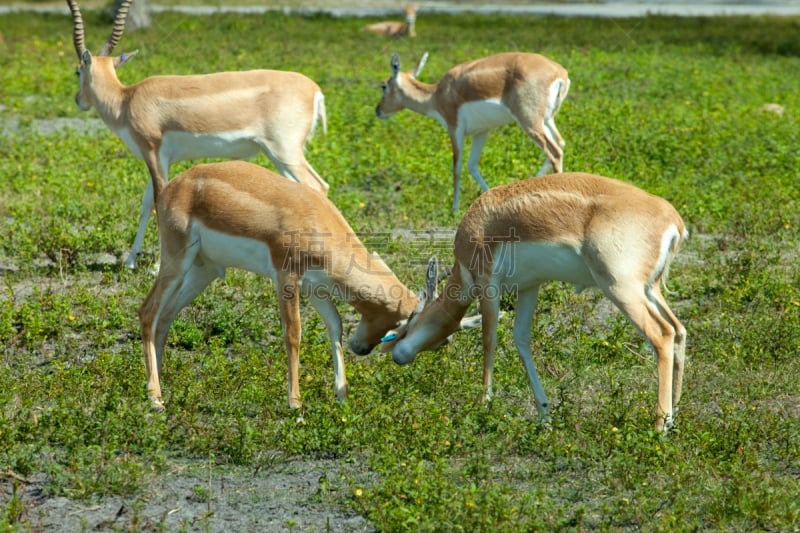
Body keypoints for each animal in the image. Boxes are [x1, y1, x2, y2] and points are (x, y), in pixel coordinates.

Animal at [65, 0, 328, 268]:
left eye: (77, 71)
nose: (78, 100)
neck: (126, 100)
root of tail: (314, 90)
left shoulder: (152, 152)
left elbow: (160, 200)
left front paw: (156, 266)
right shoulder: (162, 159)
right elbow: (146, 203)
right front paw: (130, 261)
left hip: (284, 151)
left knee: (318, 186)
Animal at [138, 160, 422, 410]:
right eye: (399, 328)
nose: (361, 349)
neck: (317, 220)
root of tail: (171, 187)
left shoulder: (315, 288)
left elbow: (335, 325)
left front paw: (342, 397)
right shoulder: (287, 278)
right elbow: (293, 333)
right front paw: (295, 404)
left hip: (202, 272)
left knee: (165, 317)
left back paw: (158, 386)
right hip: (176, 261)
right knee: (148, 311)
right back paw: (154, 400)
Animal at [376, 52, 568, 212]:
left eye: (384, 86)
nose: (378, 111)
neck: (437, 95)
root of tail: (560, 73)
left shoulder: (454, 128)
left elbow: (457, 167)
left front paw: (454, 210)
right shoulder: (481, 132)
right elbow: (472, 165)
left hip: (529, 122)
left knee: (555, 152)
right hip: (547, 120)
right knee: (560, 143)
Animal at [382, 175, 688, 432]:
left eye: (411, 319)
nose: (398, 355)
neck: (482, 223)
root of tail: (673, 221)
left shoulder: (488, 285)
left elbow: (489, 340)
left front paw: (483, 405)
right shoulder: (530, 287)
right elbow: (521, 339)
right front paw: (544, 413)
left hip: (621, 289)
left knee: (661, 335)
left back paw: (660, 426)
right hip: (650, 290)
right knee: (678, 330)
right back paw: (674, 414)